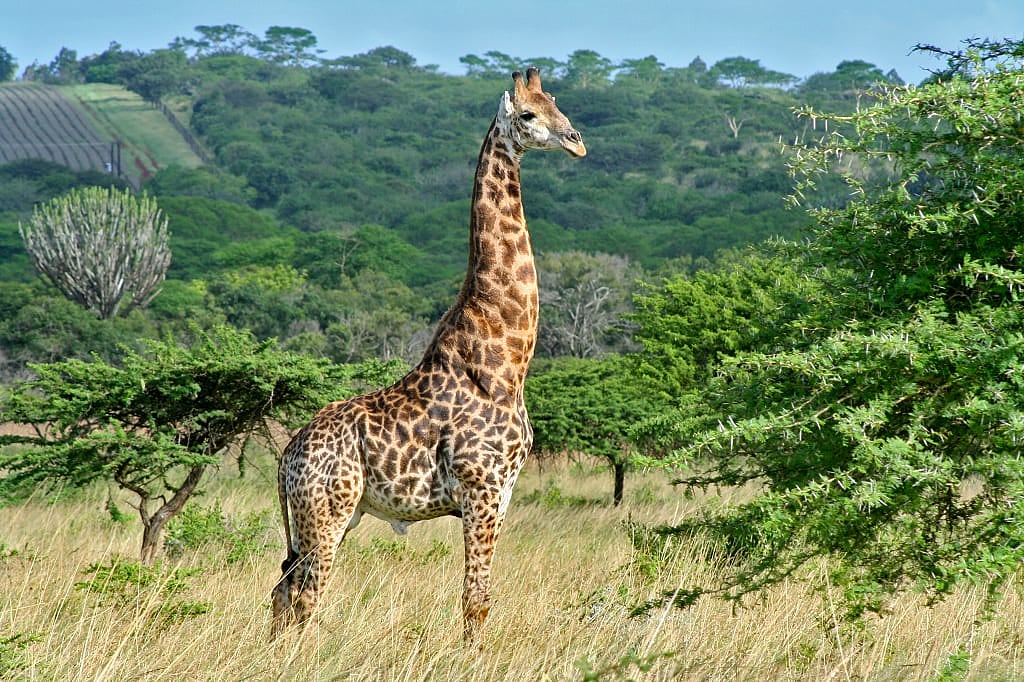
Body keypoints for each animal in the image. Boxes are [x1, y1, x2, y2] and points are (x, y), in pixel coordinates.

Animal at [271, 67, 586, 641]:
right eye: (529, 114)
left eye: (558, 103)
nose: (577, 142)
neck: (506, 359)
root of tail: (288, 457)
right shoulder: (482, 489)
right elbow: (476, 601)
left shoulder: (502, 495)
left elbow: (478, 598)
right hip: (327, 510)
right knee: (306, 597)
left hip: (325, 518)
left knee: (282, 591)